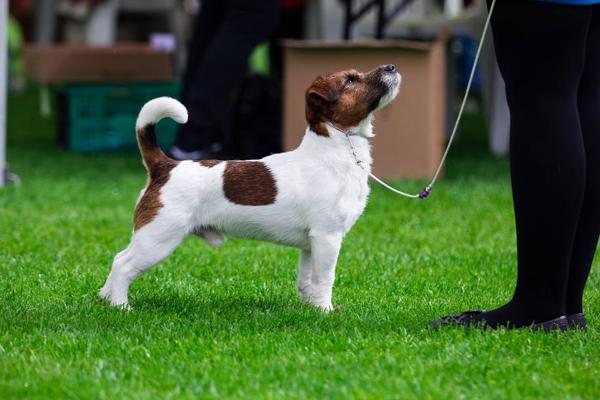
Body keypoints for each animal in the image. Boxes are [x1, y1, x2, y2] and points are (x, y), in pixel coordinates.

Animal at [98, 64, 400, 310]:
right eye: (350, 80)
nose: (391, 66)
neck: (337, 148)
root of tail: (165, 166)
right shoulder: (328, 237)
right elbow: (325, 278)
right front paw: (325, 311)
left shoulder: (310, 243)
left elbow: (307, 280)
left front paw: (309, 308)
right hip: (159, 237)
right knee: (123, 264)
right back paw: (121, 306)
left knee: (118, 258)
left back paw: (105, 298)